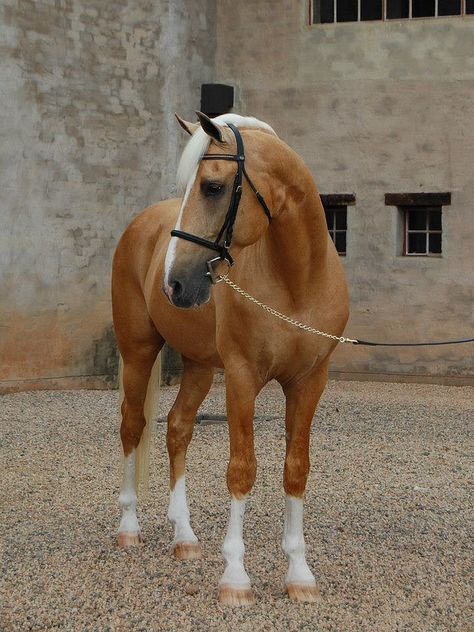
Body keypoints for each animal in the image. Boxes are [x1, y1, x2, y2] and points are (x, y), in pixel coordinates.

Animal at [111, 111, 348, 604]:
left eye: (213, 187)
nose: (174, 283)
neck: (296, 282)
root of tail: (140, 224)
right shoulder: (241, 378)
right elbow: (242, 469)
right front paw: (236, 579)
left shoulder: (309, 382)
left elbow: (296, 470)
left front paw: (300, 575)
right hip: (138, 351)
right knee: (132, 426)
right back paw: (129, 527)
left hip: (200, 366)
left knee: (178, 428)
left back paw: (184, 537)